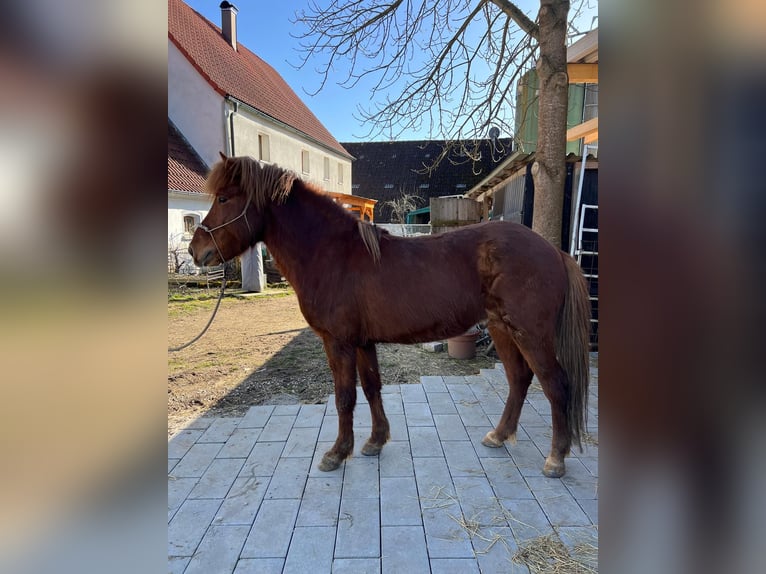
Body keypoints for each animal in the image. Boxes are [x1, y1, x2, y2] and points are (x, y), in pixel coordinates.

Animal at [189, 154, 591, 478]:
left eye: (223, 198)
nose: (196, 250)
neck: (332, 254)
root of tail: (553, 252)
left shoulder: (338, 343)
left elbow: (344, 397)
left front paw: (337, 453)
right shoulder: (363, 342)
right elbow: (371, 388)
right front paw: (375, 441)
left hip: (530, 334)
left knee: (555, 384)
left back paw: (555, 459)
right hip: (502, 329)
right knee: (519, 380)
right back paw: (499, 435)